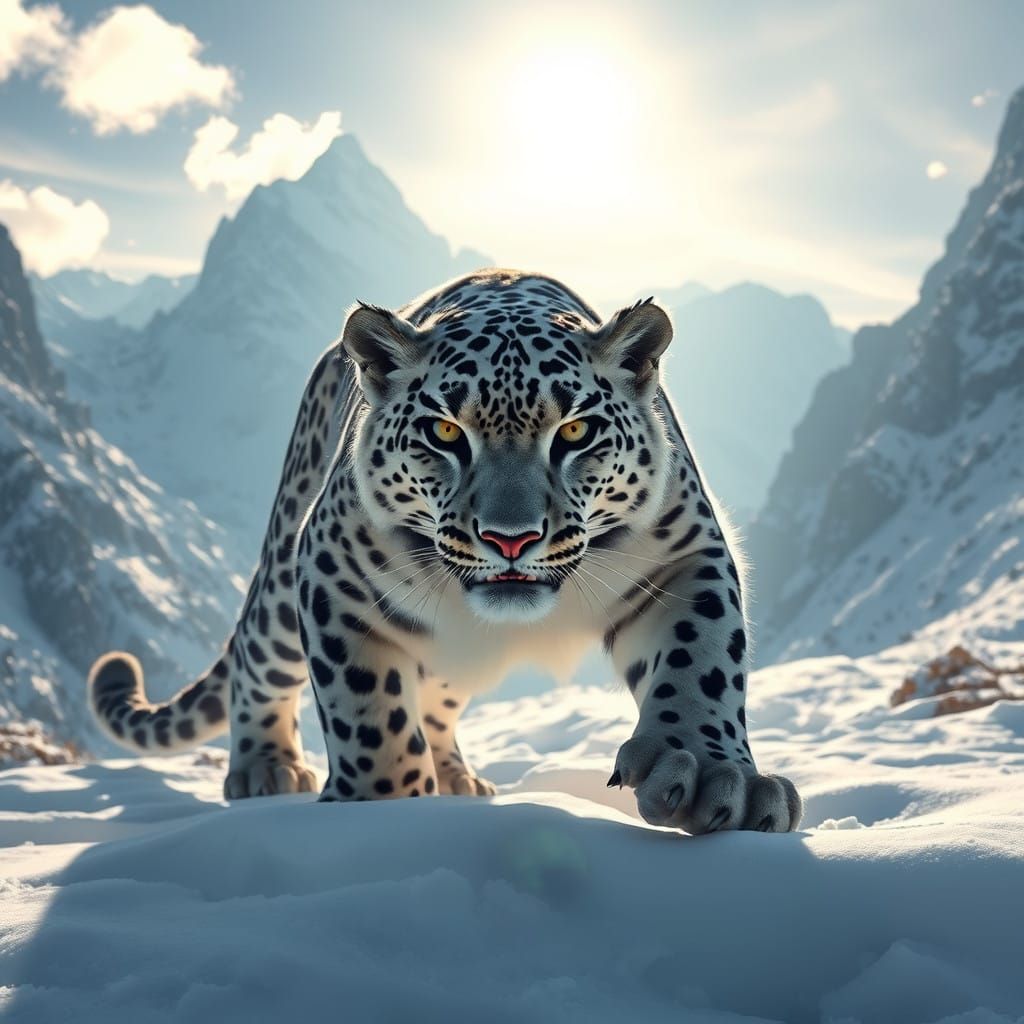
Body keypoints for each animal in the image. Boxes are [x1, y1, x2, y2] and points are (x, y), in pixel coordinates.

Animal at [88, 269, 802, 834]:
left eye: (574, 431)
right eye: (444, 432)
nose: (510, 538)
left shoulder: (684, 552)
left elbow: (701, 658)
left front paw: (710, 777)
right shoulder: (330, 569)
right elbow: (369, 715)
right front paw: (385, 808)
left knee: (434, 692)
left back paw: (459, 777)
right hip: (280, 588)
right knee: (254, 661)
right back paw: (266, 769)